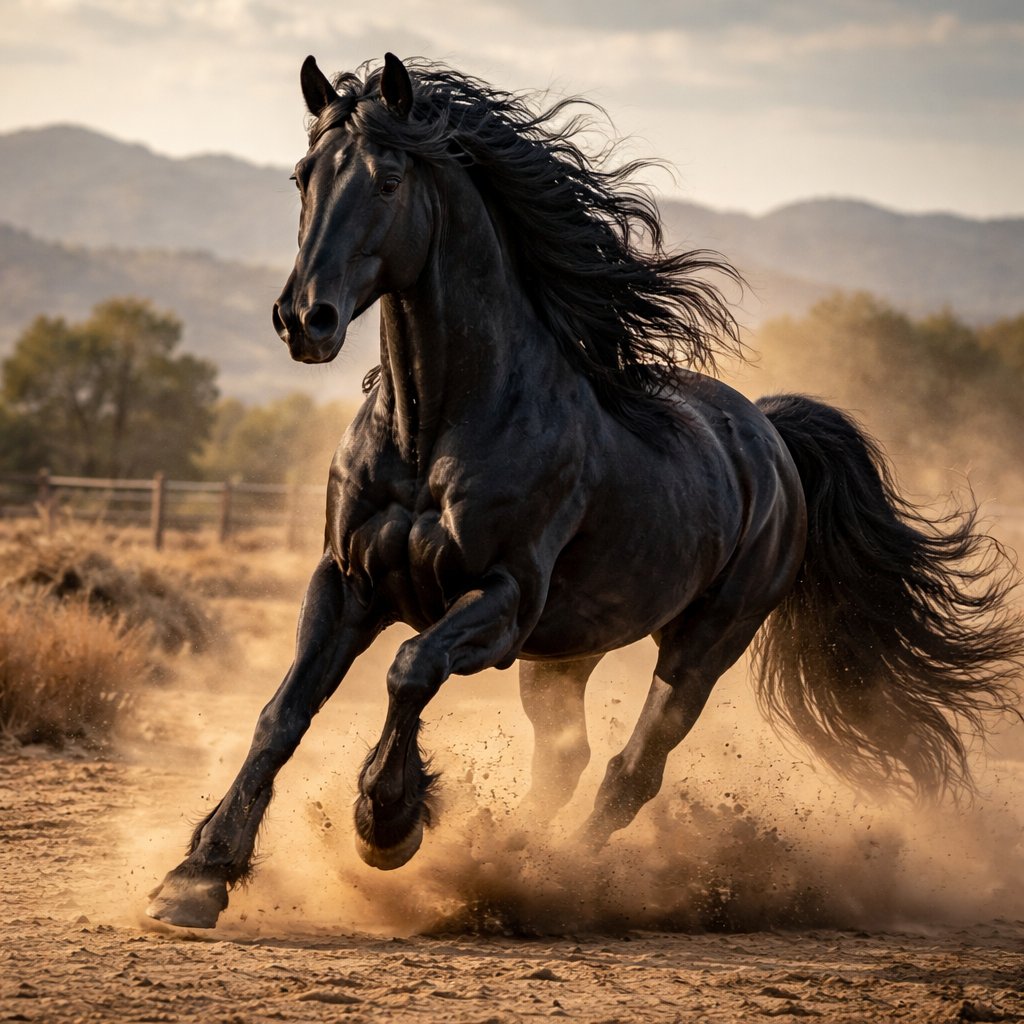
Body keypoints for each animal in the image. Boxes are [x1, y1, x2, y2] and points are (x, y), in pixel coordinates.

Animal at [147, 53, 1022, 929]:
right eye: (303, 176)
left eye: (389, 180)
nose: (306, 320)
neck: (436, 431)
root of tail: (770, 436)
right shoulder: (348, 583)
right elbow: (282, 715)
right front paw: (197, 875)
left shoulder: (501, 602)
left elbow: (409, 669)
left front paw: (387, 822)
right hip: (569, 652)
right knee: (566, 760)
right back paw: (507, 861)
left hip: (704, 643)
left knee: (632, 770)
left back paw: (549, 878)